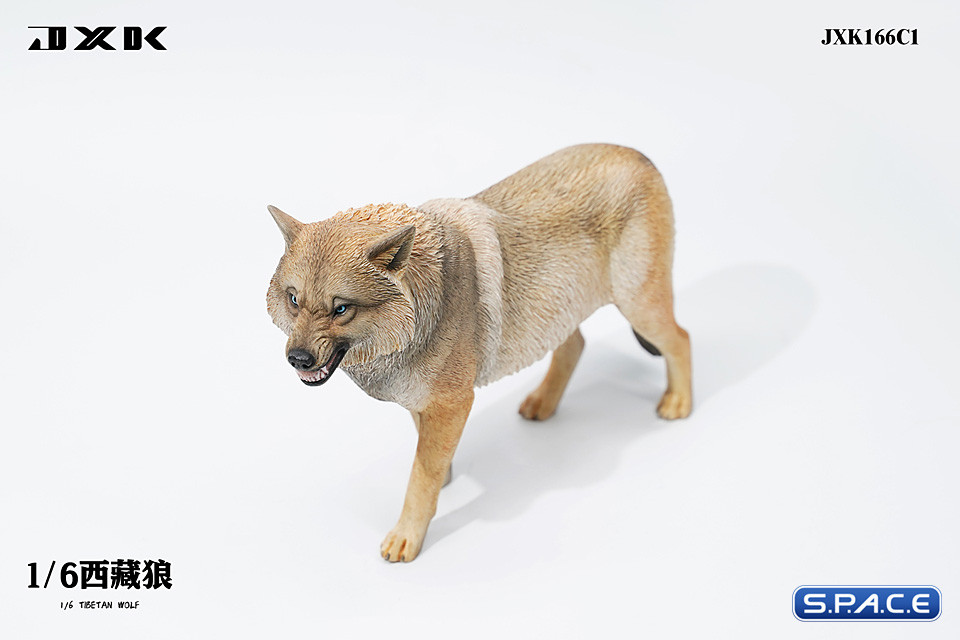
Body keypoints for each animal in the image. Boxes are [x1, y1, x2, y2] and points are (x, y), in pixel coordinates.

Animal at [266, 143, 692, 562]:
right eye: (294, 300)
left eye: (341, 309)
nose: (298, 359)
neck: (425, 306)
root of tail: (639, 155)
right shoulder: (425, 401)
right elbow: (429, 456)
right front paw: (446, 478)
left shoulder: (453, 402)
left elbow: (421, 476)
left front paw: (408, 536)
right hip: (556, 312)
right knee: (576, 346)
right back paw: (543, 403)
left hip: (639, 307)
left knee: (681, 338)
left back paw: (678, 403)